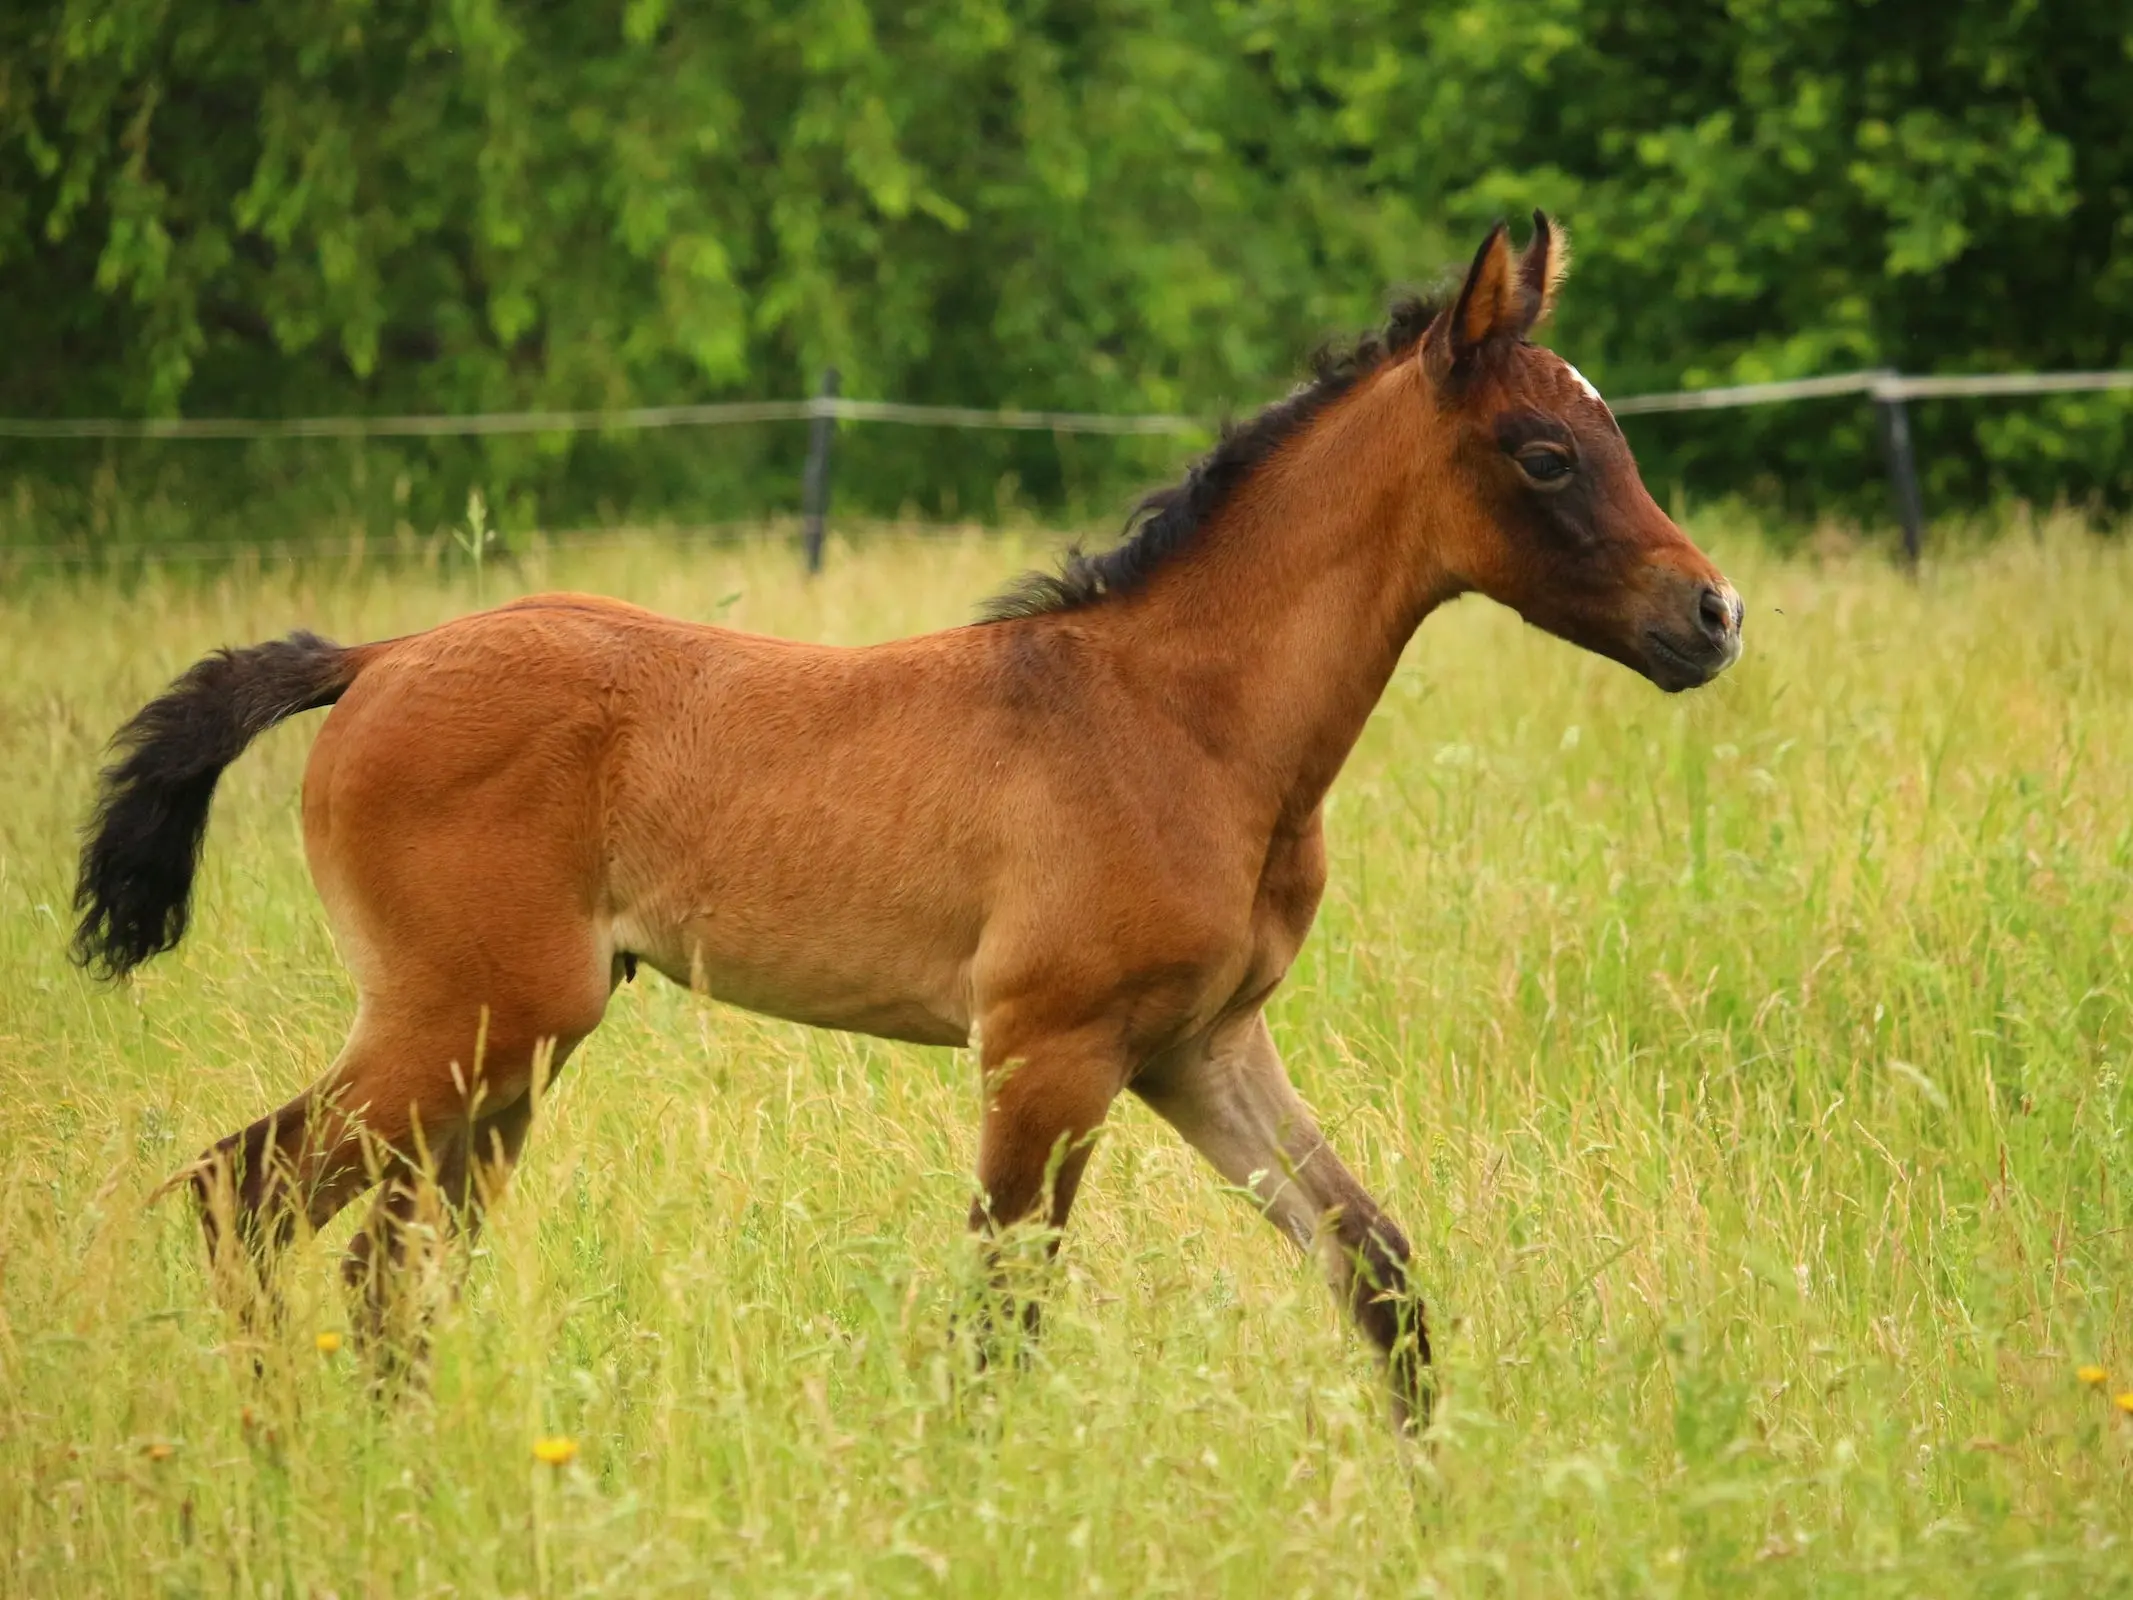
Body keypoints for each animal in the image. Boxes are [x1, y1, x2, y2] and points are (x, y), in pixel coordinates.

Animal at [75, 216, 1740, 1425]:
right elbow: (1003, 1314)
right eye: (1545, 453)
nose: (1711, 617)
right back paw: (275, 1454)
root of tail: (376, 658)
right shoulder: (1051, 1051)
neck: (1175, 722)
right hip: (462, 1024)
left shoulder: (1200, 1047)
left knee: (379, 1264)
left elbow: (1372, 1265)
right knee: (240, 1202)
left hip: (510, 1051)